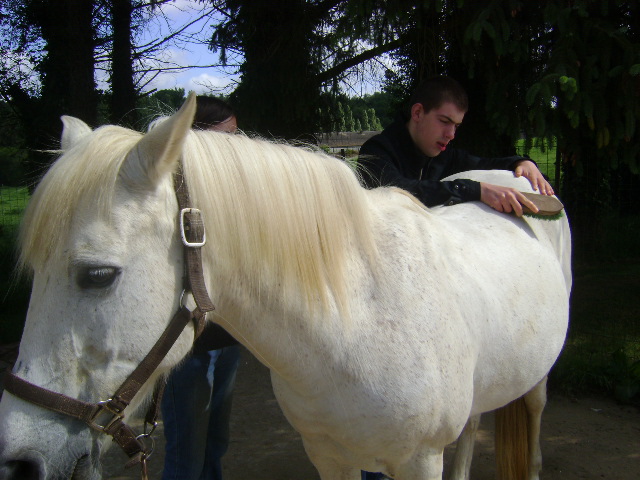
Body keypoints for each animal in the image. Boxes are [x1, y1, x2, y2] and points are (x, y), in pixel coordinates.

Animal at [0, 94, 568, 480]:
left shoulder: (419, 461)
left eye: (98, 276)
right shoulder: (329, 457)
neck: (355, 322)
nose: (19, 462)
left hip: (539, 378)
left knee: (535, 415)